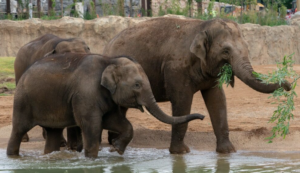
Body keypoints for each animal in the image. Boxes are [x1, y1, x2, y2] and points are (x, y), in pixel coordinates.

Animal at [7, 54, 205, 158]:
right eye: (137, 85)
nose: (202, 117)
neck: (110, 61)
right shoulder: (86, 94)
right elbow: (92, 124)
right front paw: (92, 158)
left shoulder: (106, 96)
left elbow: (116, 121)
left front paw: (116, 148)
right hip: (23, 101)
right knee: (19, 128)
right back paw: (13, 156)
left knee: (53, 133)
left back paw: (50, 157)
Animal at [104, 17, 292, 153]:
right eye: (226, 51)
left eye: (247, 48)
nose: (289, 85)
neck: (201, 27)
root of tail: (108, 43)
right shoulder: (176, 69)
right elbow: (182, 101)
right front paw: (181, 153)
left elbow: (218, 100)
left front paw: (228, 152)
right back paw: (114, 147)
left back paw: (114, 146)